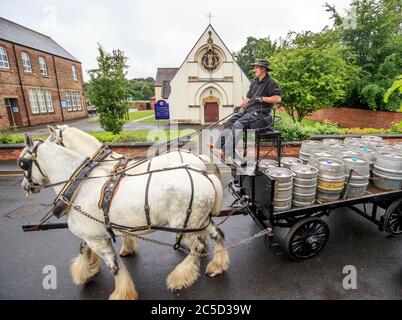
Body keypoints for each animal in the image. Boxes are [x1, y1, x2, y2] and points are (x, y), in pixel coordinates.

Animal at [19, 135, 229, 300]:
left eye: (22, 163)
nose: (25, 187)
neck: (80, 186)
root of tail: (204, 174)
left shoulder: (96, 239)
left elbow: (114, 267)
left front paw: (121, 292)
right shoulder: (94, 234)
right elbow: (84, 249)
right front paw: (84, 272)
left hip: (184, 224)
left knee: (198, 246)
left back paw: (180, 276)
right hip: (201, 219)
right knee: (216, 234)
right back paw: (217, 265)